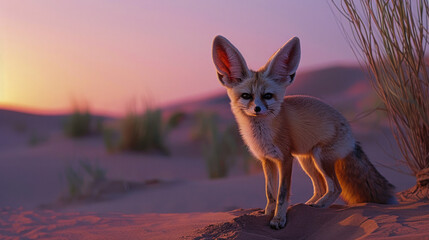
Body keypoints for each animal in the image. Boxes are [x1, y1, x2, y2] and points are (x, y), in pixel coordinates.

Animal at [211, 35, 394, 229]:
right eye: (246, 96)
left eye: (267, 96)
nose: (257, 109)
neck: (262, 135)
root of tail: (352, 138)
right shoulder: (267, 160)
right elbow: (270, 193)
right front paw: (267, 213)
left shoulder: (285, 159)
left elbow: (282, 194)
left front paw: (278, 219)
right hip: (307, 161)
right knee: (320, 187)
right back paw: (309, 205)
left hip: (320, 158)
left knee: (335, 188)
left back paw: (319, 206)